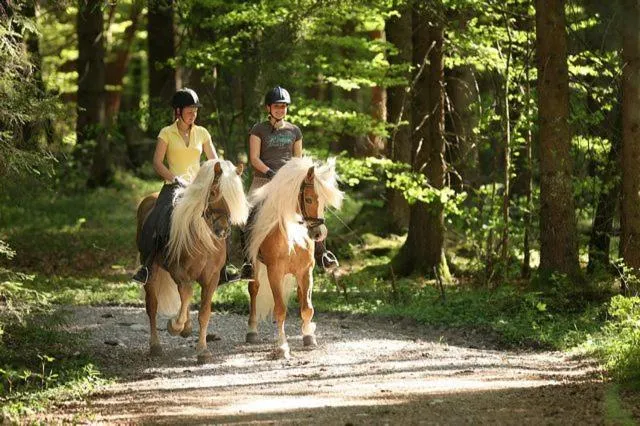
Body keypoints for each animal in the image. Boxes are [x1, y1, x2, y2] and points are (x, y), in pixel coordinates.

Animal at [136, 159, 250, 364]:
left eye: (235, 196)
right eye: (213, 192)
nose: (223, 230)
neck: (203, 240)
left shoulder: (211, 279)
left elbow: (203, 313)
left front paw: (202, 350)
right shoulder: (179, 272)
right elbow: (187, 294)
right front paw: (175, 326)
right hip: (151, 270)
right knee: (153, 305)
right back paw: (156, 345)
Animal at [245, 157, 343, 359]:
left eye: (324, 203)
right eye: (308, 199)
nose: (319, 234)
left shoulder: (305, 272)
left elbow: (307, 308)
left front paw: (309, 337)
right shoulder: (274, 273)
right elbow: (280, 310)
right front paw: (283, 347)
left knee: (300, 295)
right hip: (256, 264)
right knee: (254, 289)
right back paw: (252, 331)